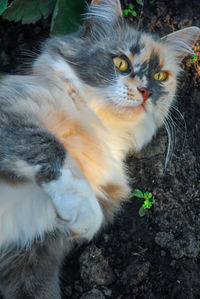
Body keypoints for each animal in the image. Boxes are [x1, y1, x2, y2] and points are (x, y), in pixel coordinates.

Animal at [0, 0, 199, 298]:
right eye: (121, 62)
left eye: (160, 76)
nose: (146, 92)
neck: (99, 128)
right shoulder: (12, 118)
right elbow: (51, 146)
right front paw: (85, 216)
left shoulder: (34, 253)